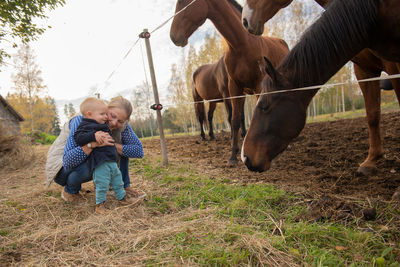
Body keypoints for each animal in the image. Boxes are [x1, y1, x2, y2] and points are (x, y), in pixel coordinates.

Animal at [170, 0, 290, 165]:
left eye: (182, 2)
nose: (173, 36)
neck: (242, 45)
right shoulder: (234, 89)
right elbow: (234, 119)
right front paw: (233, 155)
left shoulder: (257, 87)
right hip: (199, 99)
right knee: (202, 117)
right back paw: (206, 136)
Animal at [241, 0, 400, 176]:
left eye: (264, 106)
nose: (245, 157)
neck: (377, 12)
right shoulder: (365, 69)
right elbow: (372, 114)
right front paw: (370, 162)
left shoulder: (394, 65)